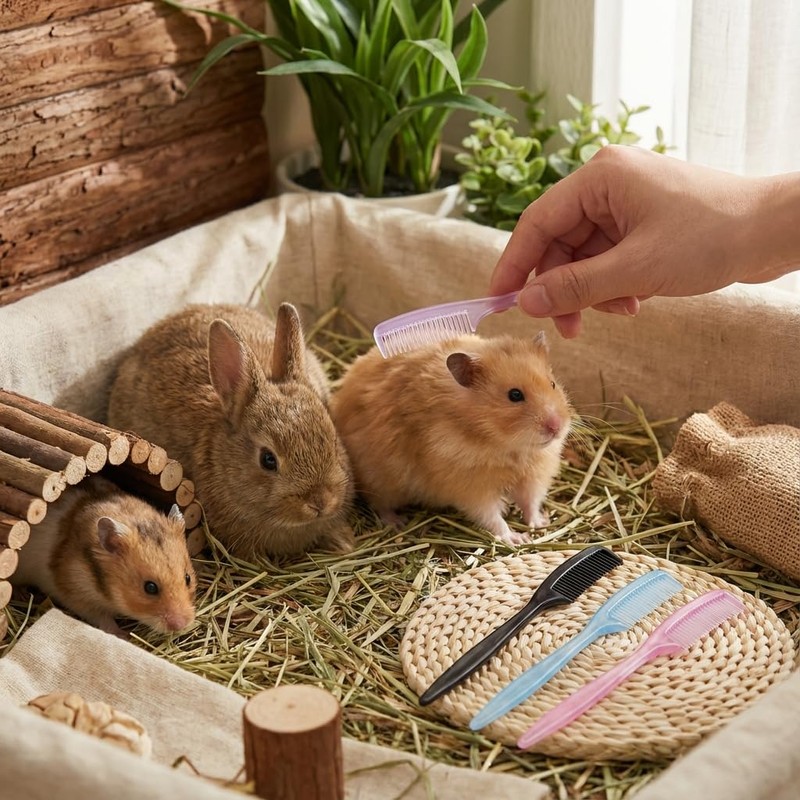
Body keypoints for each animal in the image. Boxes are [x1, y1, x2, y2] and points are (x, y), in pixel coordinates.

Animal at [11, 477, 196, 637]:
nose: (181, 625)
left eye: (188, 578)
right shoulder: (78, 594)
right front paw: (123, 635)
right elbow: (103, 618)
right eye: (150, 587)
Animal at [329, 332, 572, 545]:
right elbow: (491, 516)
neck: (510, 446)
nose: (556, 427)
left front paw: (540, 523)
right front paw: (517, 539)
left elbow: (530, 501)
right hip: (381, 480)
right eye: (514, 395)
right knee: (380, 505)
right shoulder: (471, 486)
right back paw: (397, 522)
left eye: (552, 384)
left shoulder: (533, 474)